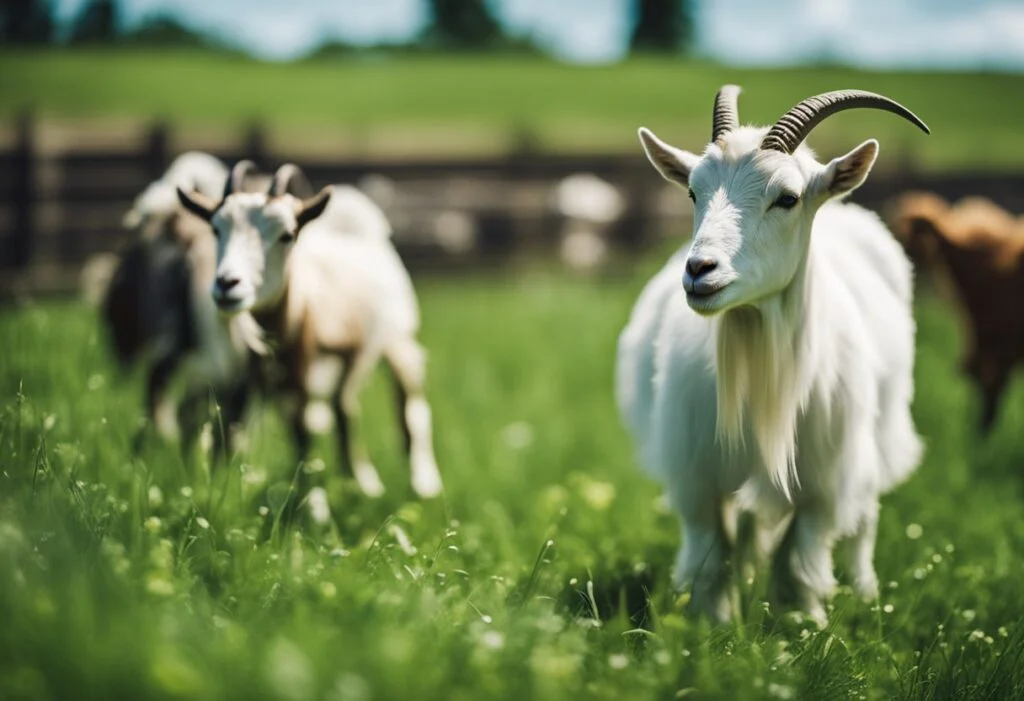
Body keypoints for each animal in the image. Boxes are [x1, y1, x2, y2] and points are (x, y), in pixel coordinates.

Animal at [176, 162, 443, 499]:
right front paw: (216, 489)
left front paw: (313, 493)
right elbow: (232, 435)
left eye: (287, 235)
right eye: (215, 229)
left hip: (396, 340)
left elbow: (311, 432)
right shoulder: (246, 381)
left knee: (405, 409)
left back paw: (419, 482)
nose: (227, 284)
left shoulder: (319, 373)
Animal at [616, 86, 929, 625]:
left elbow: (800, 559)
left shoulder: (823, 482)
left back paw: (866, 592)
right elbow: (709, 555)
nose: (700, 270)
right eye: (693, 192)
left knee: (864, 515)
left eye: (787, 198)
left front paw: (804, 626)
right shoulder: (697, 475)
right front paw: (712, 626)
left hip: (876, 436)